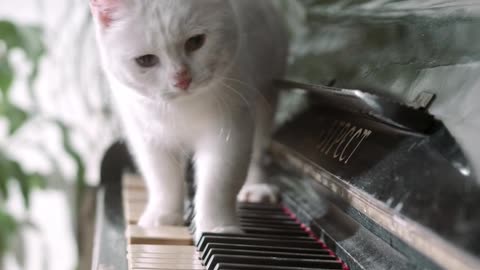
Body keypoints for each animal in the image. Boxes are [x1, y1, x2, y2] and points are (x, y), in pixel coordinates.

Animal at [88, 0, 286, 235]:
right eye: (145, 60)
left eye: (196, 42)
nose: (182, 79)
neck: (182, 107)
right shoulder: (147, 136)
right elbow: (163, 179)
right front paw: (164, 216)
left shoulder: (230, 129)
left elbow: (219, 183)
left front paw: (218, 228)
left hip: (266, 97)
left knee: (257, 151)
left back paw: (256, 187)